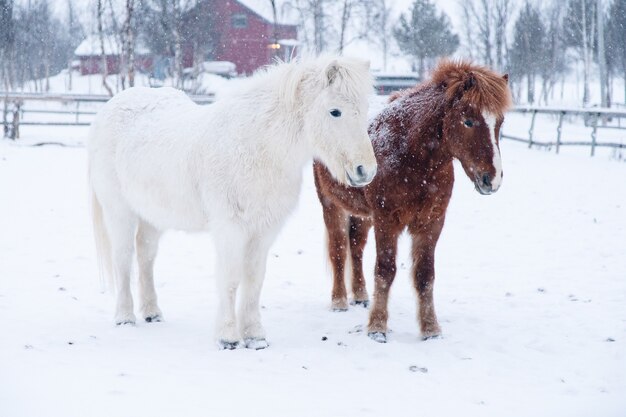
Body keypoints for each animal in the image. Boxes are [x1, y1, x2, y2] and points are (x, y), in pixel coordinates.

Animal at [89, 55, 376, 348]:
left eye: (365, 107)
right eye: (335, 111)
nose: (366, 170)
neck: (258, 148)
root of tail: (110, 109)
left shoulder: (263, 231)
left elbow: (253, 280)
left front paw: (254, 335)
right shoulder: (231, 228)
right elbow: (230, 279)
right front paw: (228, 337)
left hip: (152, 217)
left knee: (145, 257)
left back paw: (152, 313)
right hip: (119, 212)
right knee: (123, 259)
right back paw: (125, 316)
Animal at [314, 61, 510, 342]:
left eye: (500, 122)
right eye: (468, 121)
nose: (492, 180)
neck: (411, 154)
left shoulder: (431, 222)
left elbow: (425, 275)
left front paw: (430, 328)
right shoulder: (387, 221)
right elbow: (385, 270)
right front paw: (377, 327)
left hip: (363, 215)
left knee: (356, 247)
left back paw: (360, 295)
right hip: (331, 205)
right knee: (339, 250)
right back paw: (339, 300)